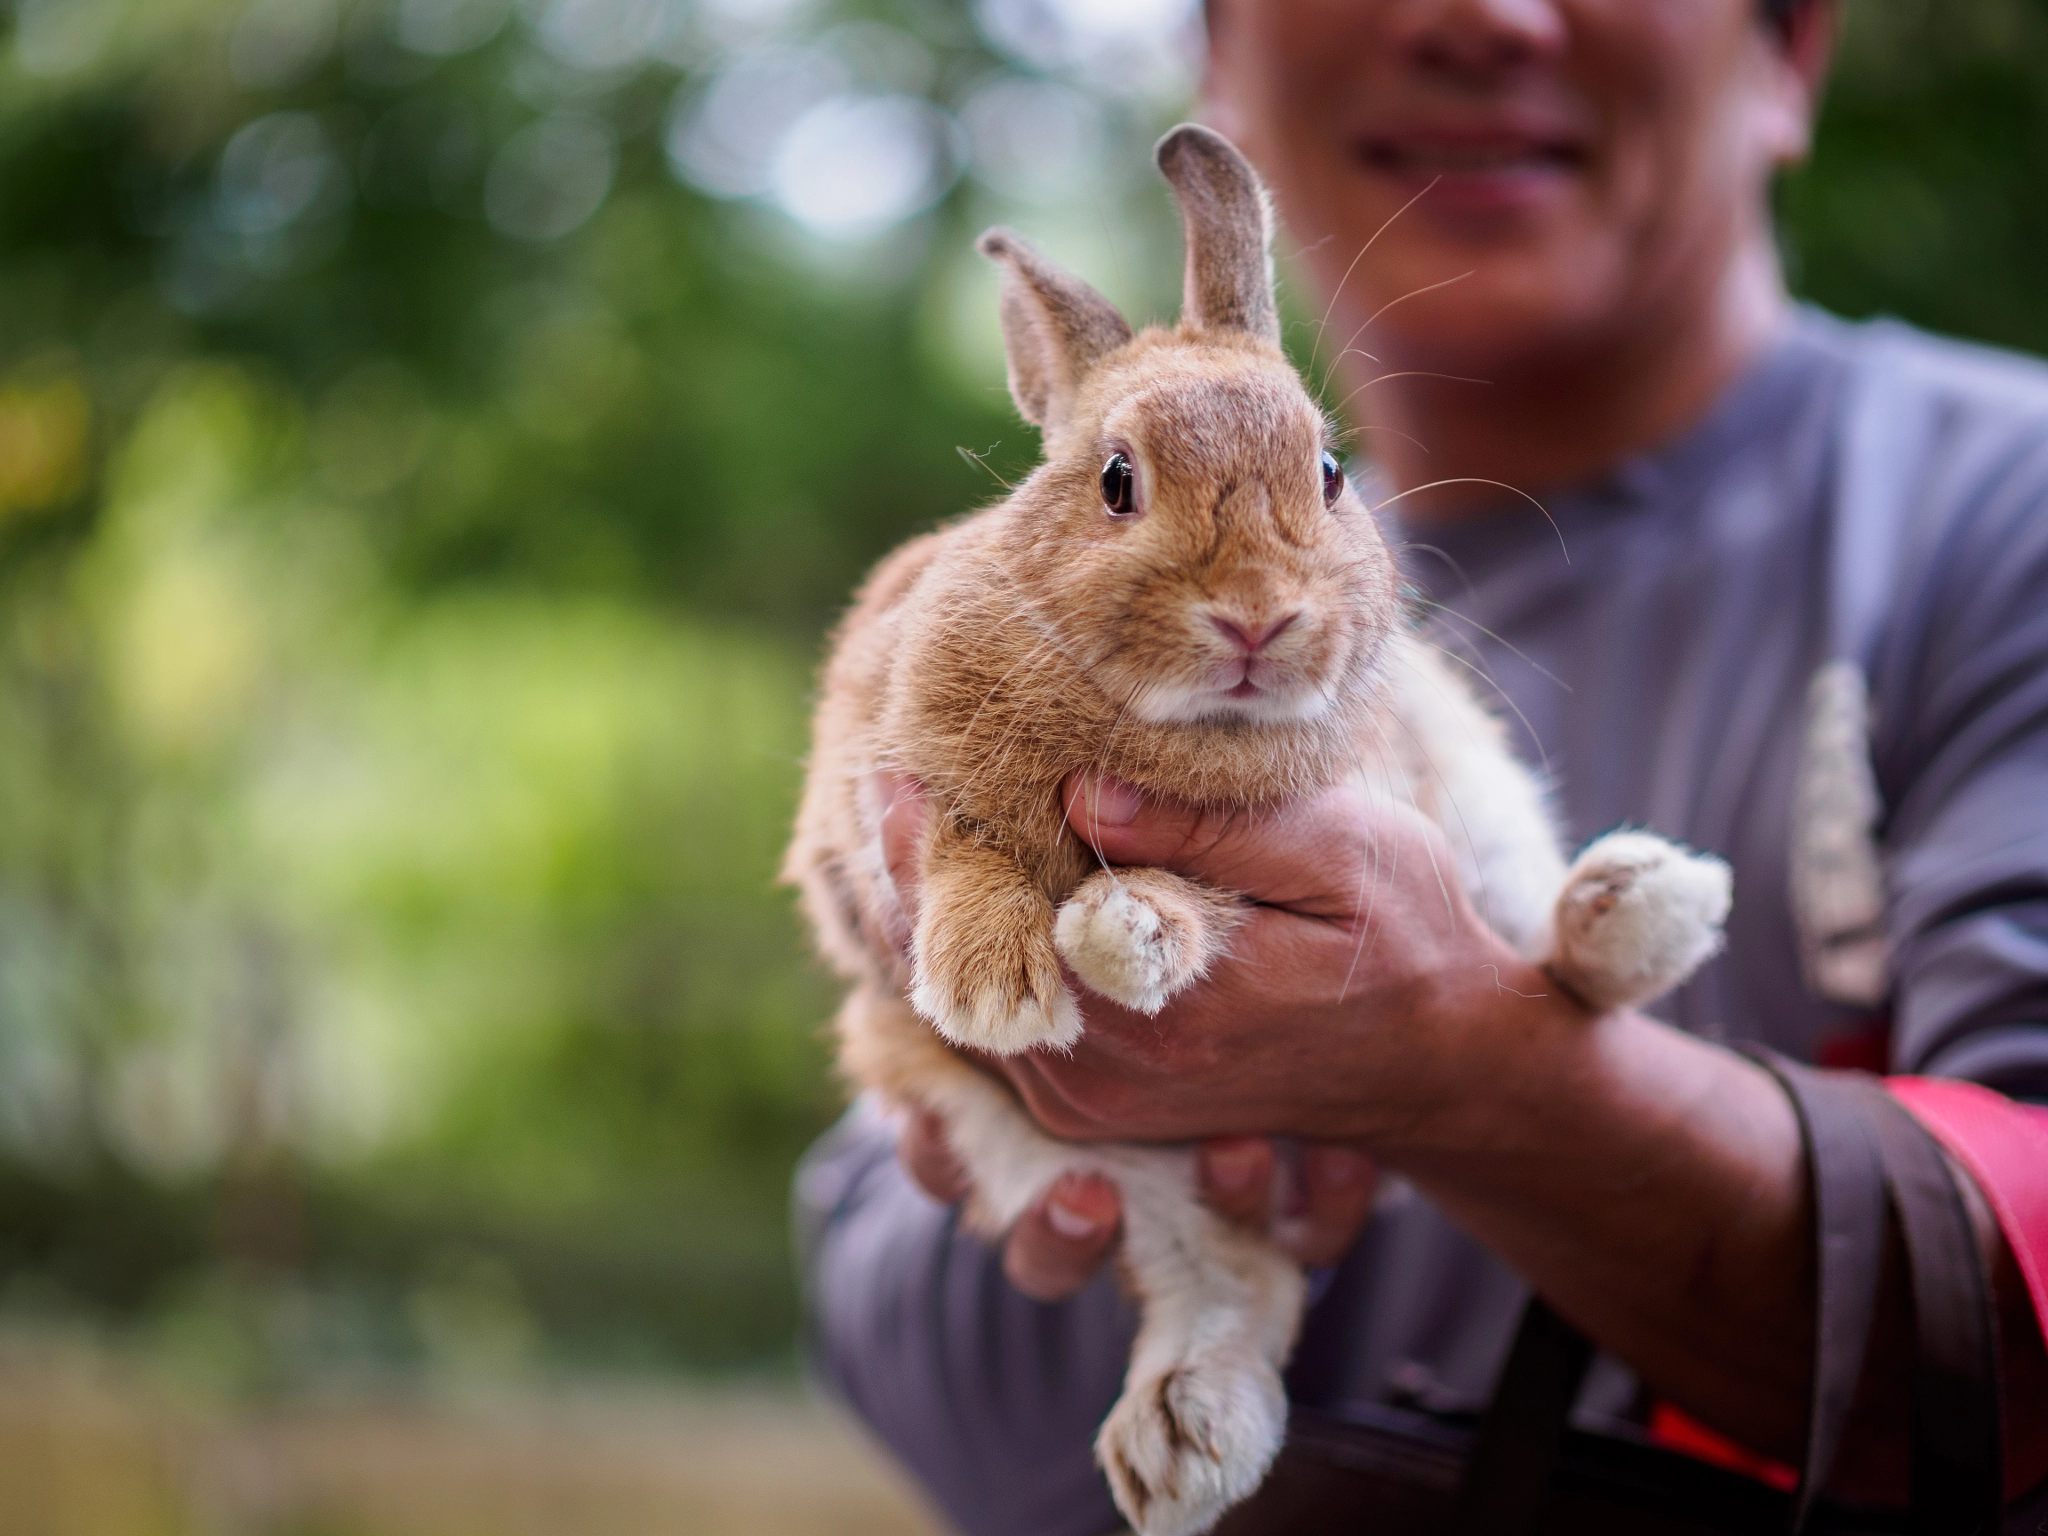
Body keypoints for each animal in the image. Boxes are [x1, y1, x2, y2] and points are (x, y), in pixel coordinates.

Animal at [782, 126, 1728, 1536]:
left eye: (1328, 473)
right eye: (1116, 481)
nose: (1257, 617)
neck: (1168, 724)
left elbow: (1206, 897)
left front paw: (1127, 933)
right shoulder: (878, 800)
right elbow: (962, 849)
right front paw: (998, 984)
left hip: (1481, 807)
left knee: (1542, 965)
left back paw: (1644, 904)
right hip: (1050, 1146)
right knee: (1234, 1280)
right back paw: (1186, 1440)